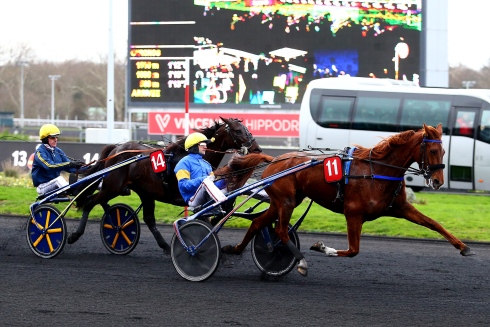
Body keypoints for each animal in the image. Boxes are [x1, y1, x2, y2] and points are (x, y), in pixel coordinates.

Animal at [68, 118, 264, 254]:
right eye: (238, 131)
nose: (257, 148)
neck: (194, 155)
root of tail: (117, 149)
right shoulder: (192, 197)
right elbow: (209, 216)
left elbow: (220, 210)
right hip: (112, 187)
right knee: (89, 202)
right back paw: (74, 236)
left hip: (145, 192)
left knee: (148, 219)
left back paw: (163, 245)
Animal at [219, 124, 474, 278]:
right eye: (432, 151)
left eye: (443, 152)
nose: (438, 181)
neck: (377, 171)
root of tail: (274, 159)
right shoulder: (353, 213)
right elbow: (353, 250)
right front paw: (321, 247)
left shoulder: (400, 207)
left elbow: (433, 223)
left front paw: (464, 247)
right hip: (287, 202)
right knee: (280, 230)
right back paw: (300, 262)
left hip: (281, 201)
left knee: (258, 223)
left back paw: (236, 249)